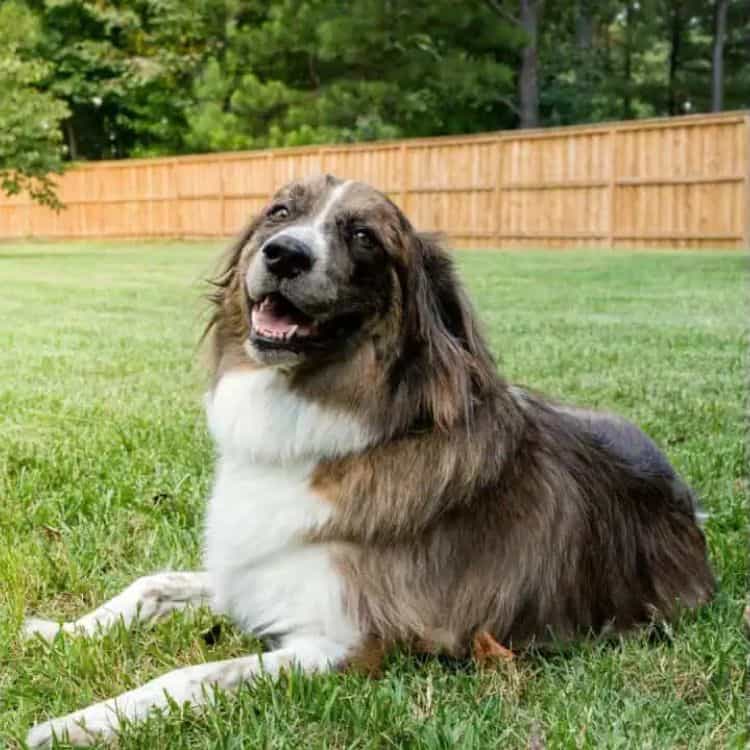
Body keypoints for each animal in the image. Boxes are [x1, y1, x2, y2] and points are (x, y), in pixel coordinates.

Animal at [23, 175, 716, 748]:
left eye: (364, 237)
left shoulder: (351, 643)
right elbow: (152, 583)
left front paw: (79, 722)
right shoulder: (248, 574)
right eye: (279, 212)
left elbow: (191, 676)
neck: (322, 429)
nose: (285, 254)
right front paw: (59, 632)